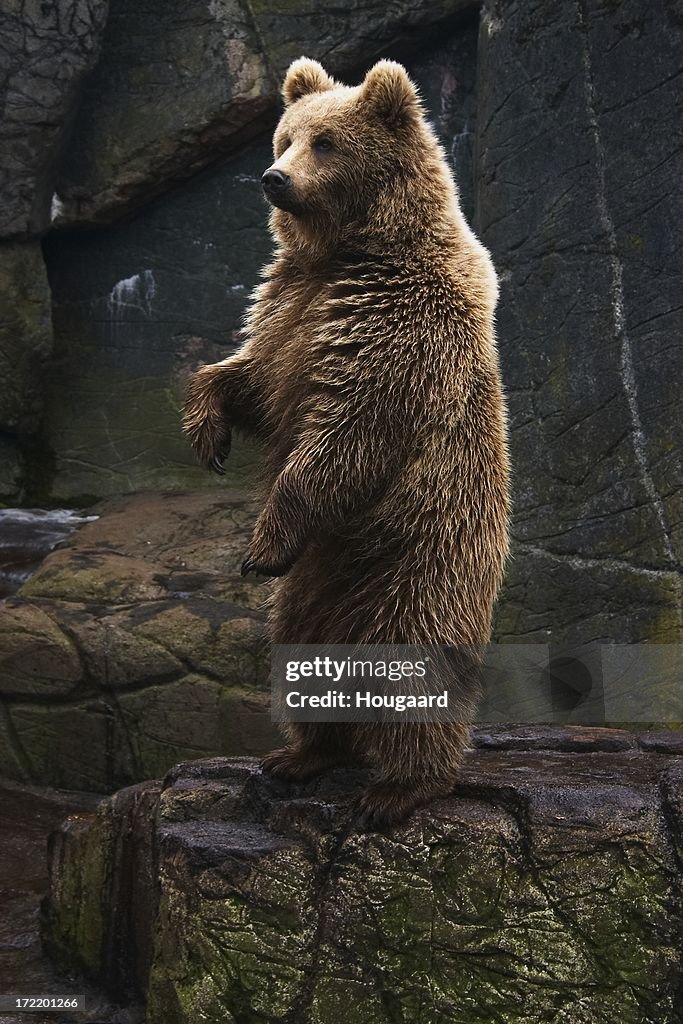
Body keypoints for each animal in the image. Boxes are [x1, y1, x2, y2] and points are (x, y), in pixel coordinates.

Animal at [184, 58, 509, 831]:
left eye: (326, 143)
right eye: (285, 136)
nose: (274, 177)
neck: (349, 249)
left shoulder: (398, 329)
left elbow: (346, 432)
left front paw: (262, 545)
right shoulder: (291, 309)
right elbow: (251, 378)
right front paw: (207, 429)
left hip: (423, 552)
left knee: (412, 654)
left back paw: (398, 788)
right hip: (314, 588)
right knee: (303, 647)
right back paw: (300, 755)